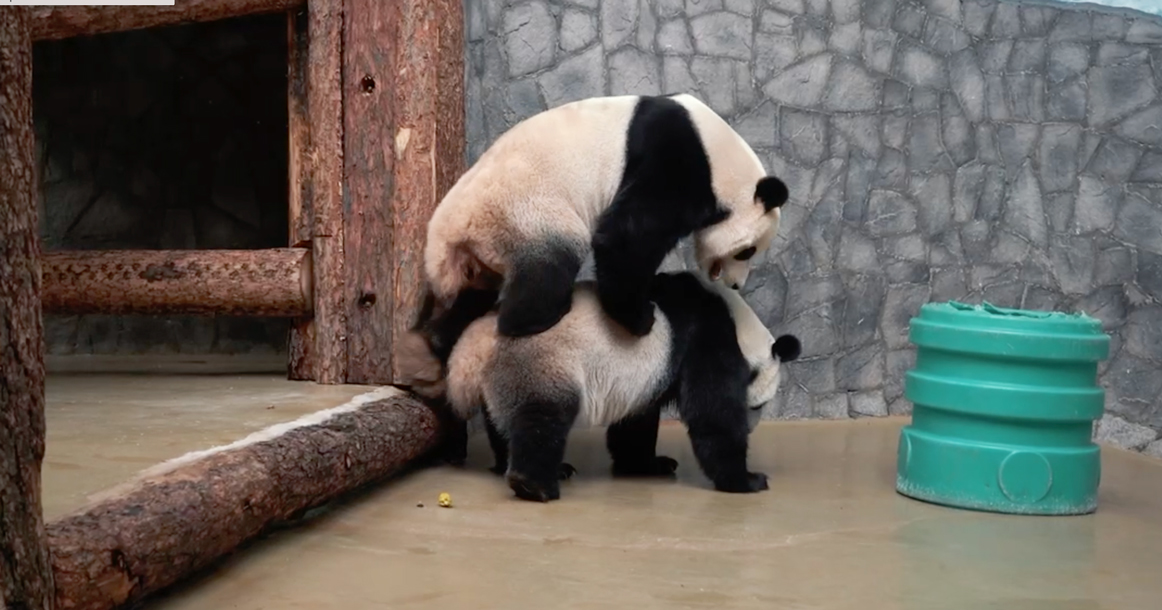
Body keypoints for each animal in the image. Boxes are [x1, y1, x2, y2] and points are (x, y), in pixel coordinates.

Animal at [397, 92, 790, 392]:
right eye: (748, 250)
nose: (736, 284)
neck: (719, 158)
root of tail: (449, 230)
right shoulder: (677, 163)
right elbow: (625, 237)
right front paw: (640, 318)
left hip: (483, 248)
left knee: (472, 294)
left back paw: (433, 342)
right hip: (525, 210)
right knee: (551, 263)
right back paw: (539, 316)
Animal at [441, 268, 799, 501]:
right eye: (758, 405)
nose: (751, 428)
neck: (736, 319)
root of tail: (476, 345)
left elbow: (637, 420)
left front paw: (648, 464)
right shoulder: (709, 340)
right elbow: (713, 413)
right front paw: (747, 479)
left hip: (502, 378)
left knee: (502, 424)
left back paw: (523, 466)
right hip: (541, 362)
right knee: (542, 417)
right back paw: (535, 484)